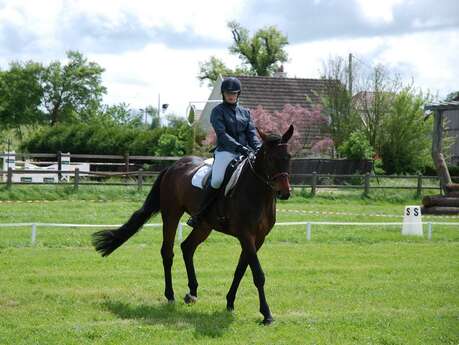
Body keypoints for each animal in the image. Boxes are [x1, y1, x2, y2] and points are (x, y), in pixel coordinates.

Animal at [92, 125, 294, 324]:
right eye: (270, 158)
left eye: (289, 157)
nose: (284, 192)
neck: (257, 192)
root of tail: (172, 167)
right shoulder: (246, 235)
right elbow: (258, 274)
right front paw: (266, 314)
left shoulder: (258, 238)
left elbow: (241, 270)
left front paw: (230, 303)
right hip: (171, 215)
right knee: (167, 253)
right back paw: (170, 296)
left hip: (204, 225)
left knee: (187, 247)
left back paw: (192, 293)